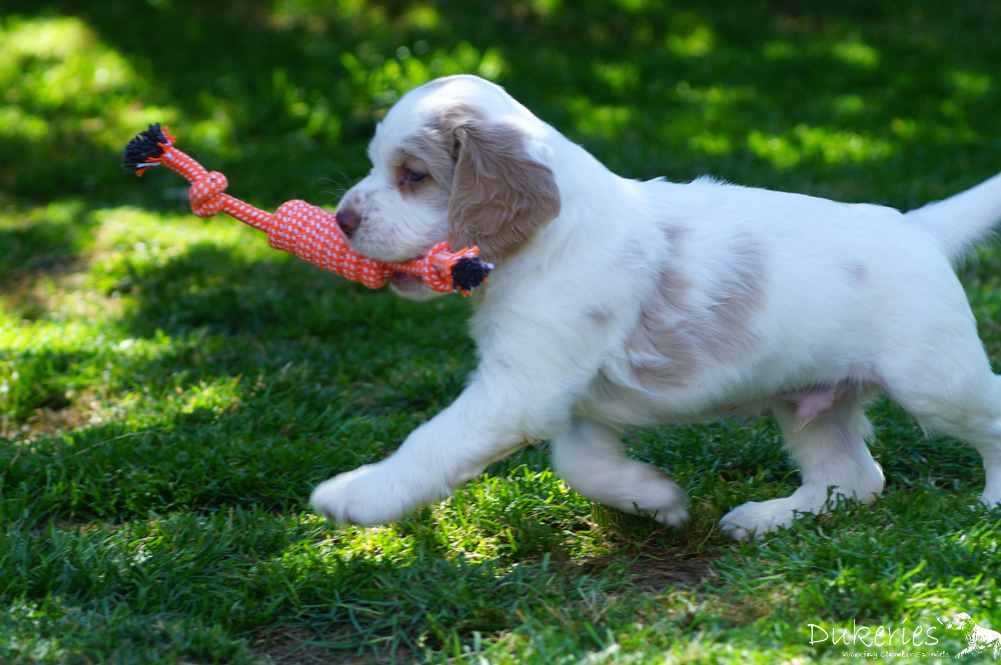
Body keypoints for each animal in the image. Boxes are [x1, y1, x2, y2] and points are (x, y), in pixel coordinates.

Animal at [312, 74, 1001, 540]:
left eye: (414, 176)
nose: (342, 219)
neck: (547, 241)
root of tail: (917, 226)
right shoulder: (567, 392)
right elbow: (579, 463)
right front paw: (655, 498)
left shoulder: (519, 389)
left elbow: (432, 442)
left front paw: (358, 495)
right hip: (811, 399)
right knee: (855, 478)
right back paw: (765, 519)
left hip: (935, 381)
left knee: (986, 423)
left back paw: (991, 505)